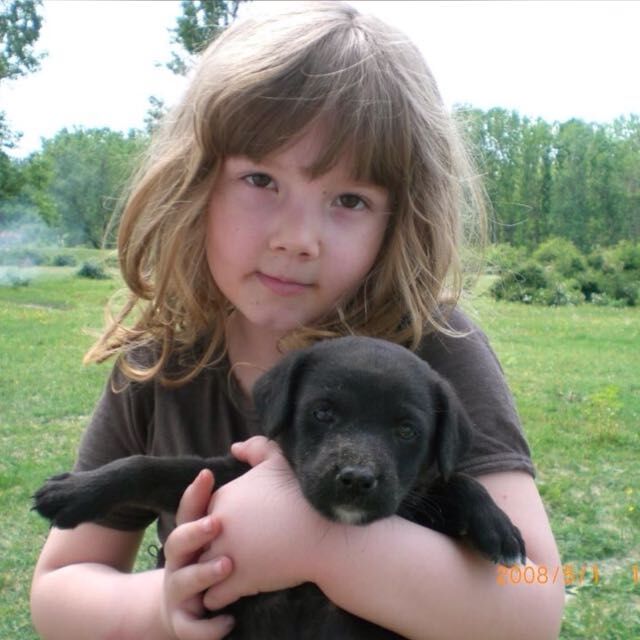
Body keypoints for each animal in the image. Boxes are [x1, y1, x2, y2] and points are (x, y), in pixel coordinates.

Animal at [33, 336, 526, 639]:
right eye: (323, 413)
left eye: (406, 431)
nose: (355, 479)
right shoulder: (221, 475)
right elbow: (149, 466)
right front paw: (74, 491)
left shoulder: (416, 503)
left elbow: (454, 480)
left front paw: (498, 526)